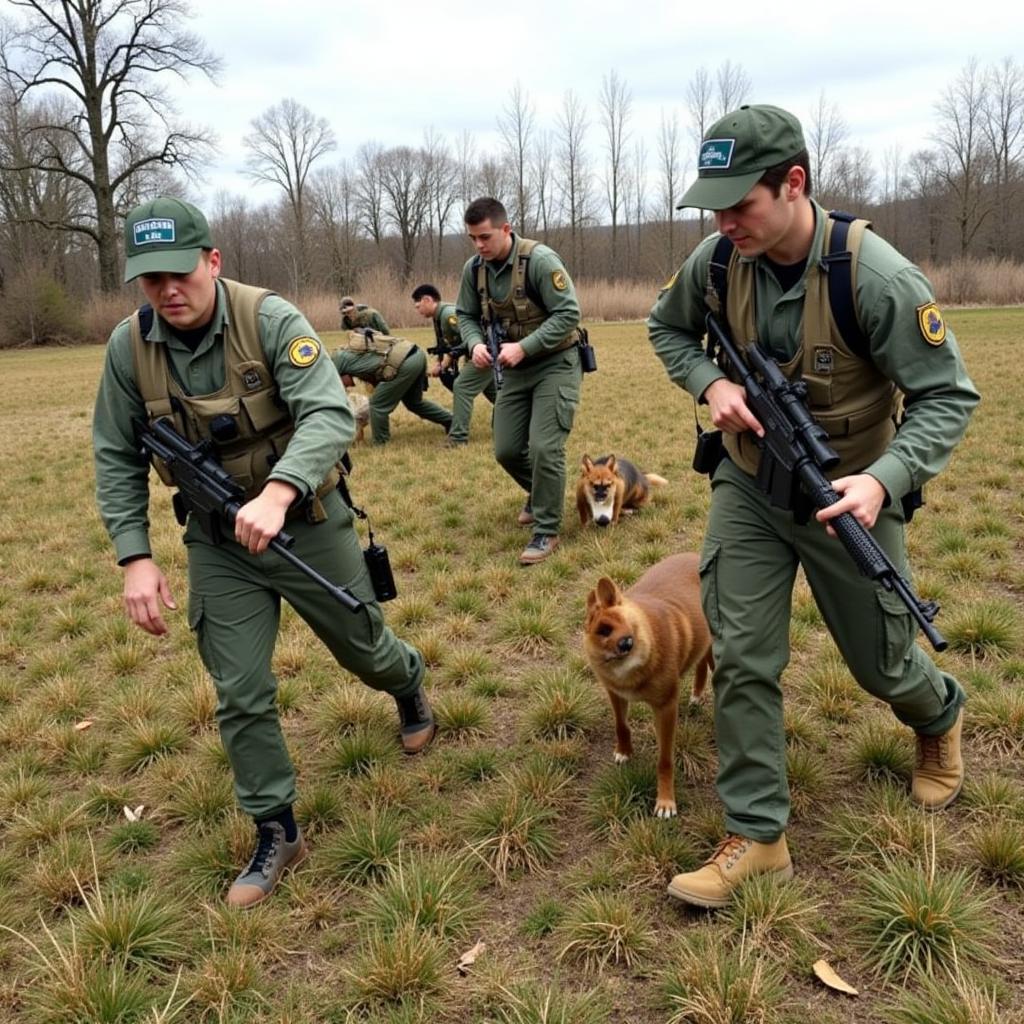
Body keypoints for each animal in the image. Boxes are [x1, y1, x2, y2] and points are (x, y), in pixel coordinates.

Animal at [585, 557, 712, 819]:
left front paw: (665, 802)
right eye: (603, 631)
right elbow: (621, 726)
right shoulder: (615, 694)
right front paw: (624, 751)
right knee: (701, 661)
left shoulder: (666, 708)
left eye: (625, 623)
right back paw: (696, 695)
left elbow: (665, 761)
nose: (627, 643)